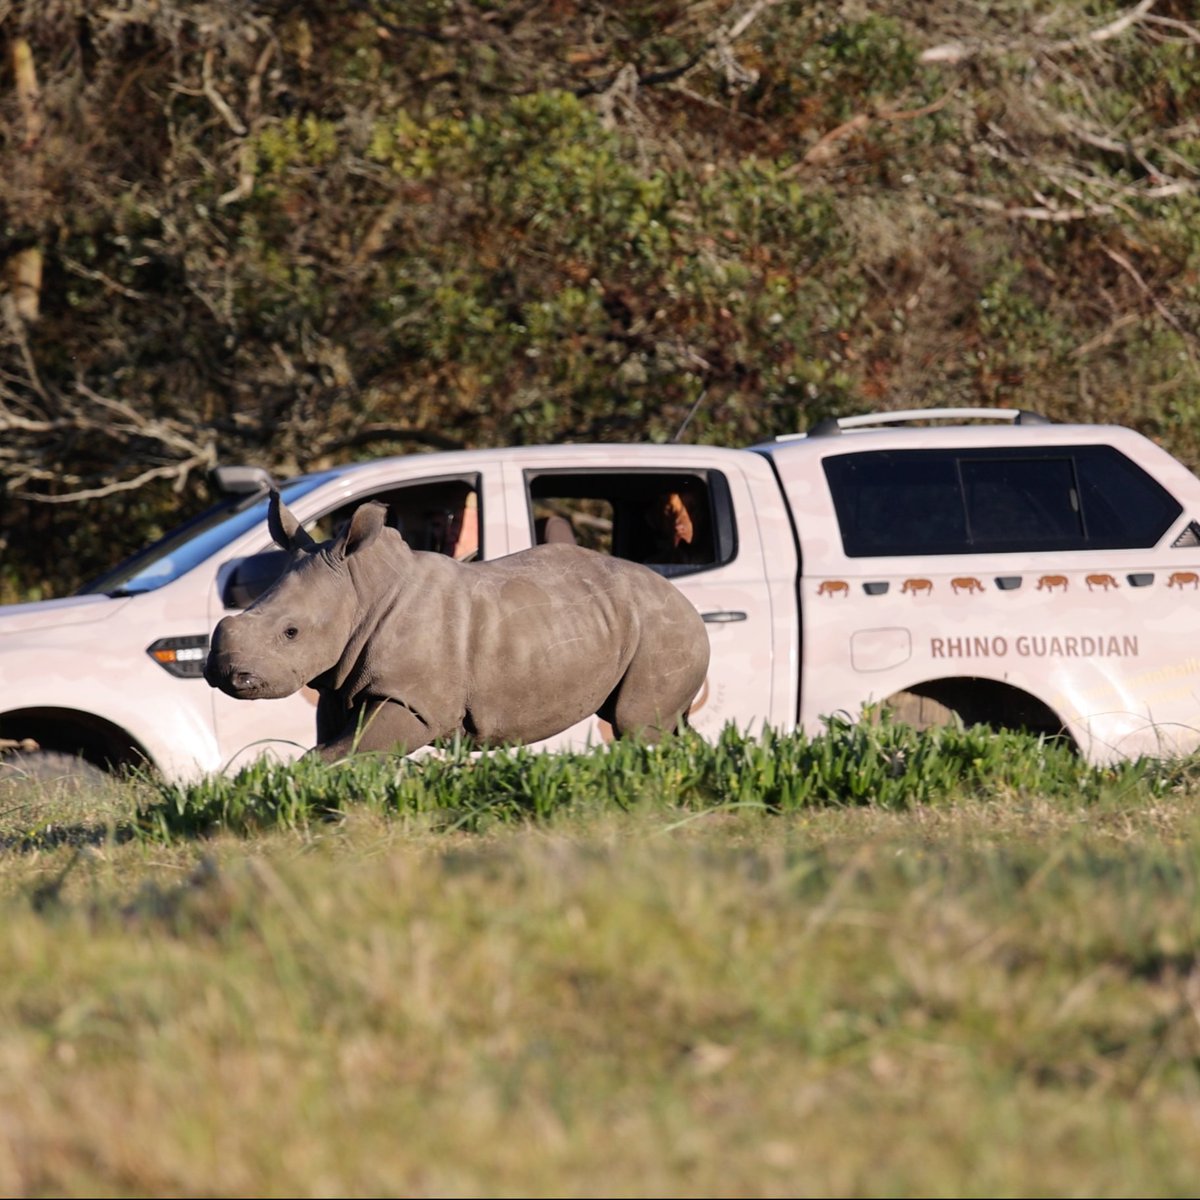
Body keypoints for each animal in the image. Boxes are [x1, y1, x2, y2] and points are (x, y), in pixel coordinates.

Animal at [204, 492, 711, 762]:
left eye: (291, 632)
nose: (227, 674)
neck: (362, 589)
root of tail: (684, 598)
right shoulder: (338, 682)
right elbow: (339, 745)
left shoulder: (412, 700)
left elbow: (340, 751)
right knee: (667, 724)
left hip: (663, 628)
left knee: (636, 724)